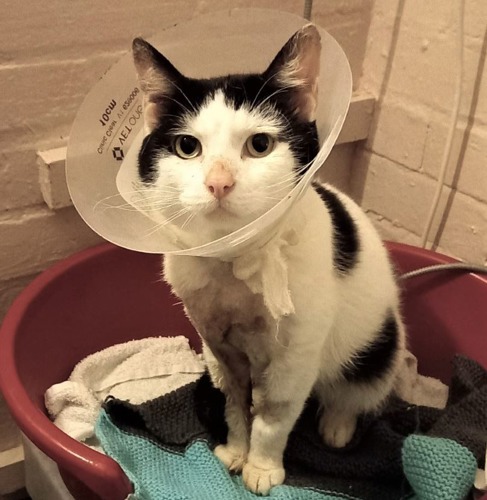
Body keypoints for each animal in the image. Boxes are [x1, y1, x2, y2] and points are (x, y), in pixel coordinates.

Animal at [132, 25, 406, 494]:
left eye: (259, 145)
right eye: (187, 147)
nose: (219, 182)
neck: (234, 262)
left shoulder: (296, 356)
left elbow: (274, 413)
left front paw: (261, 467)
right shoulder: (217, 346)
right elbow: (235, 403)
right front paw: (236, 451)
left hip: (377, 348)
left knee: (352, 391)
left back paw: (336, 426)